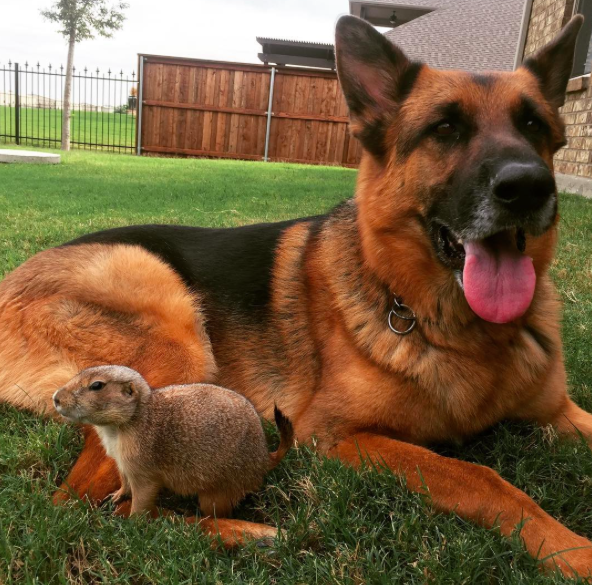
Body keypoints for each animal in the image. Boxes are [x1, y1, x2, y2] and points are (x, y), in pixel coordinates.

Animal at [1, 13, 592, 576]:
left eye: (534, 124)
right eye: (445, 128)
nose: (530, 186)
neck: (454, 328)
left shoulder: (560, 410)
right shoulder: (335, 435)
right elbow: (478, 475)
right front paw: (572, 550)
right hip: (171, 343)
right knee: (87, 506)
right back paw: (248, 532)